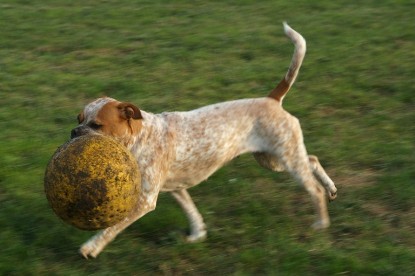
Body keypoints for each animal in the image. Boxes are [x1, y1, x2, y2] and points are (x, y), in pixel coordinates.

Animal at [71, 22, 338, 258]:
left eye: (96, 125)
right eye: (79, 118)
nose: (74, 132)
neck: (138, 139)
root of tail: (271, 99)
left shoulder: (145, 199)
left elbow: (111, 228)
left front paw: (91, 247)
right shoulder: (176, 188)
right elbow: (192, 212)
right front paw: (198, 235)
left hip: (286, 159)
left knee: (313, 187)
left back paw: (321, 223)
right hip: (273, 160)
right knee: (312, 159)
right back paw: (331, 189)